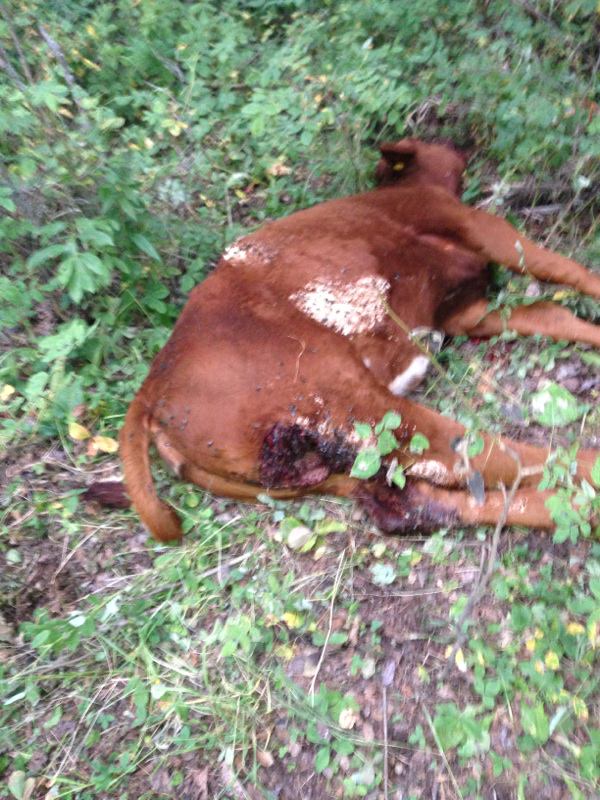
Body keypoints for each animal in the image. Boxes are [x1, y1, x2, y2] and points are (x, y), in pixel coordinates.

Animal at [118, 139, 600, 542]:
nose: (460, 138)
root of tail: (152, 391)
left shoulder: (468, 313)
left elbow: (552, 315)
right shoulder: (473, 224)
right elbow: (569, 272)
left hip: (317, 467)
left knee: (417, 494)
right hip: (345, 401)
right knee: (476, 454)